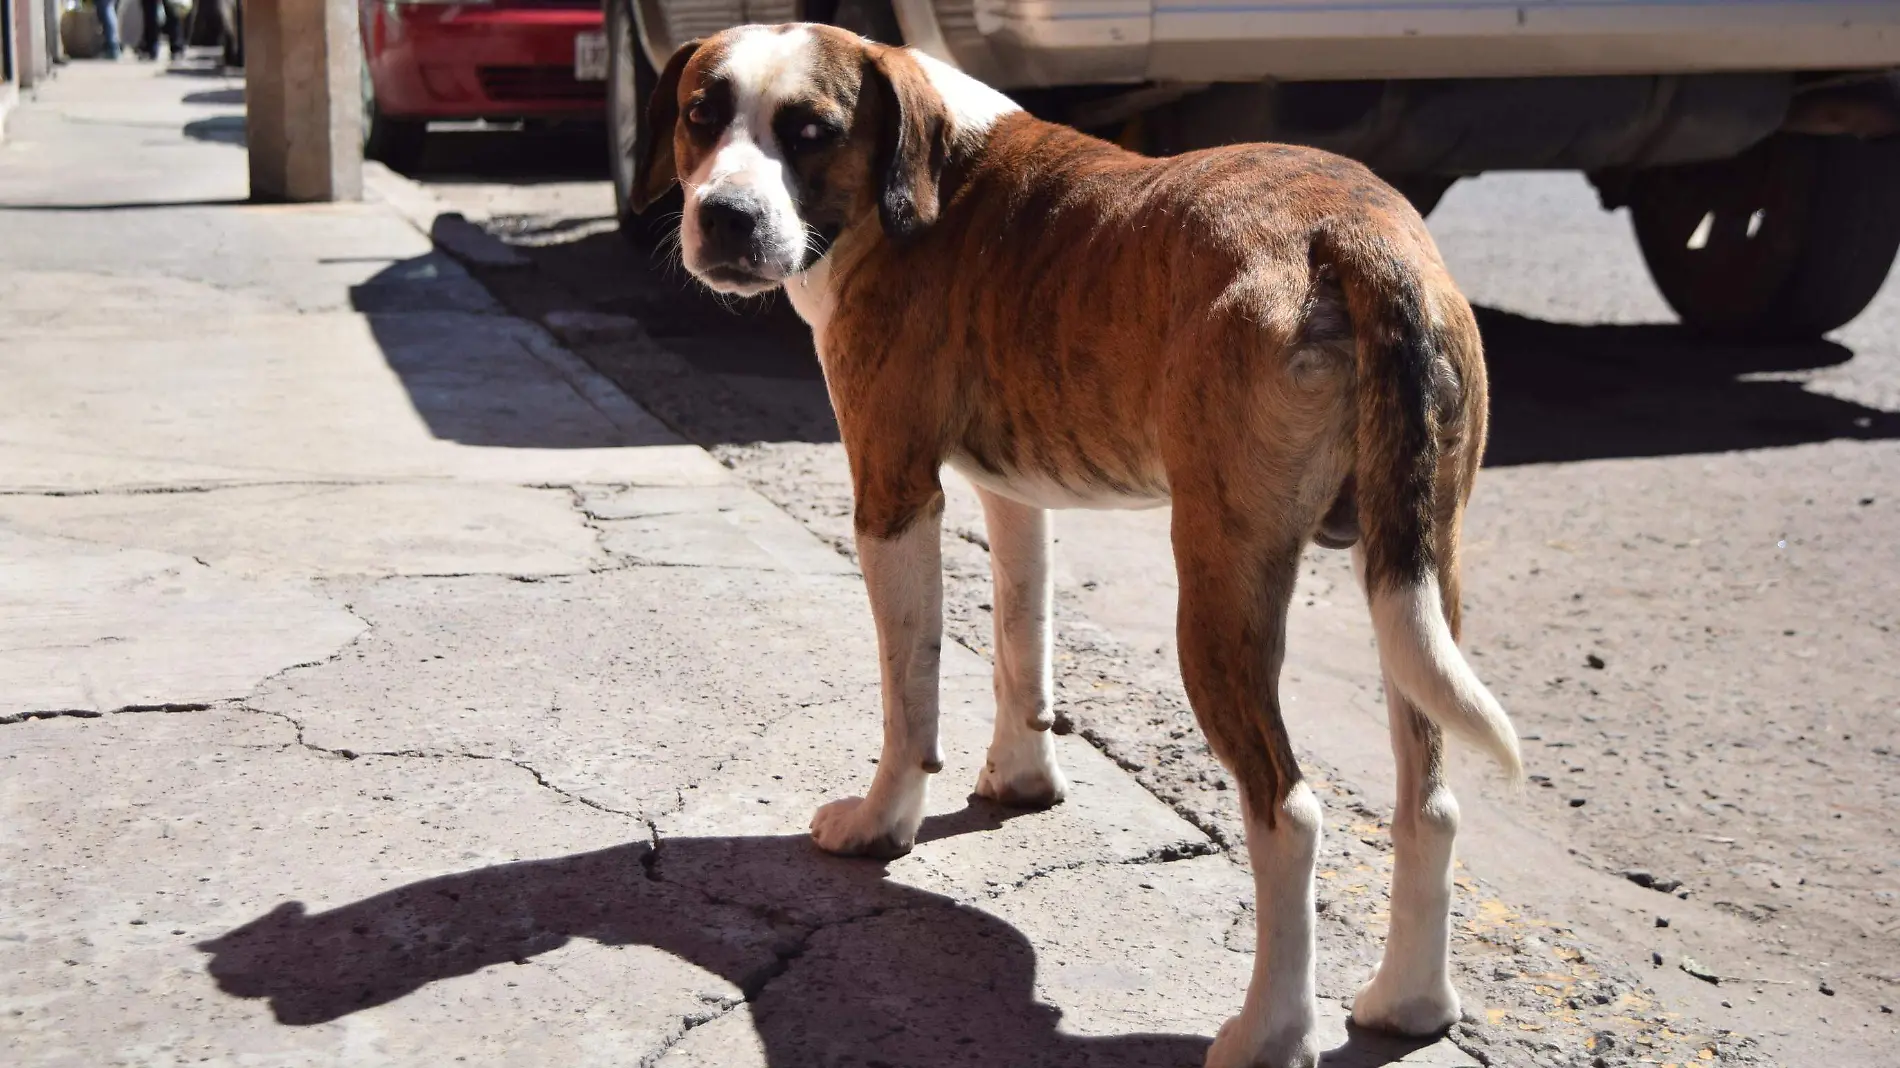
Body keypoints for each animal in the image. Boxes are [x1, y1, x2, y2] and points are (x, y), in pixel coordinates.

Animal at [638, 24, 1527, 1064]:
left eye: (809, 130)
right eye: (701, 114)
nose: (726, 217)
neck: (919, 176)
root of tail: (1354, 234)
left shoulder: (893, 494)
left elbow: (911, 691)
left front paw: (881, 822)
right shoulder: (1013, 495)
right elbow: (1020, 646)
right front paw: (1021, 779)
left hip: (1221, 585)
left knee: (1289, 811)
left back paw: (1269, 1031)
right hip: (1416, 576)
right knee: (1428, 801)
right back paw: (1410, 1003)